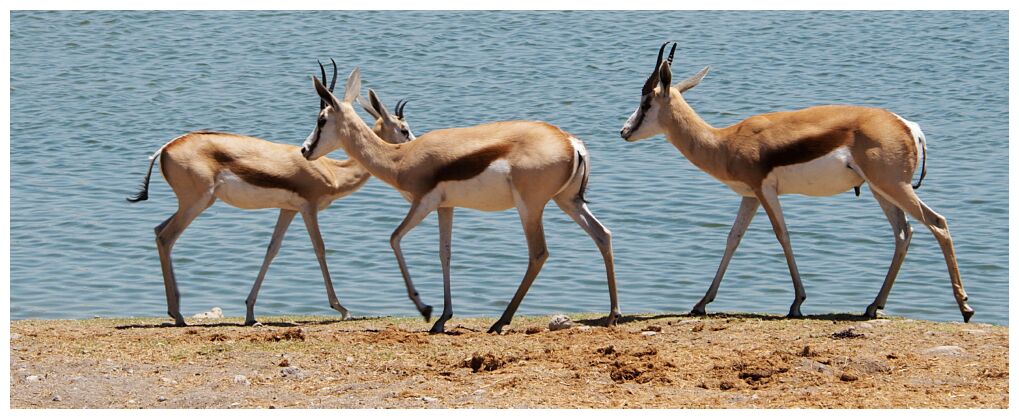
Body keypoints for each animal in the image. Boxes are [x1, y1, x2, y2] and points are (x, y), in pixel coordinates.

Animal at [126, 60, 413, 326]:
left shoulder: (288, 209)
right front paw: (342, 309)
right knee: (167, 237)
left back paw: (174, 311)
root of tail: (166, 148)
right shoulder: (308, 208)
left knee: (158, 231)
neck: (332, 170)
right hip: (197, 203)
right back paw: (178, 315)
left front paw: (251, 313)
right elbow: (320, 248)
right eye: (403, 129)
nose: (414, 144)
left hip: (192, 204)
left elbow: (272, 249)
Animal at [299, 65, 619, 334]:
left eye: (321, 119)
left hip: (530, 207)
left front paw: (425, 309)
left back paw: (500, 322)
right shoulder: (446, 207)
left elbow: (394, 238)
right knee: (602, 234)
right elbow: (445, 253)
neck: (400, 159)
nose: (304, 149)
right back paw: (613, 314)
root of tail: (570, 141)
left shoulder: (423, 202)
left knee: (538, 253)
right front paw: (442, 318)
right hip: (568, 201)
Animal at [615, 42, 974, 322]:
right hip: (880, 190)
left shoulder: (765, 190)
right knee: (904, 233)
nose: (624, 131)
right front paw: (701, 303)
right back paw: (873, 306)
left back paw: (965, 308)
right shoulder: (750, 195)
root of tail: (907, 125)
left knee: (937, 223)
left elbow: (782, 235)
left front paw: (797, 303)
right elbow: (733, 239)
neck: (725, 142)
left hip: (893, 186)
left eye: (646, 102)